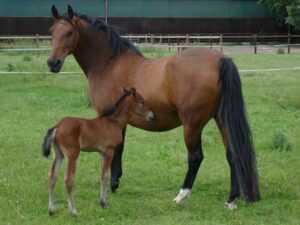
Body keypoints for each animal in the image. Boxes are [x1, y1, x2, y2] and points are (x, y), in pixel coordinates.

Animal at [42, 88, 154, 216]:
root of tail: (57, 126)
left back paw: (51, 210)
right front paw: (104, 203)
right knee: (68, 179)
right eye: (142, 103)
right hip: (72, 154)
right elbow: (105, 176)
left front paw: (103, 201)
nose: (152, 116)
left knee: (52, 176)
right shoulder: (109, 151)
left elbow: (101, 175)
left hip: (59, 154)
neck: (113, 122)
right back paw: (74, 211)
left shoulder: (101, 153)